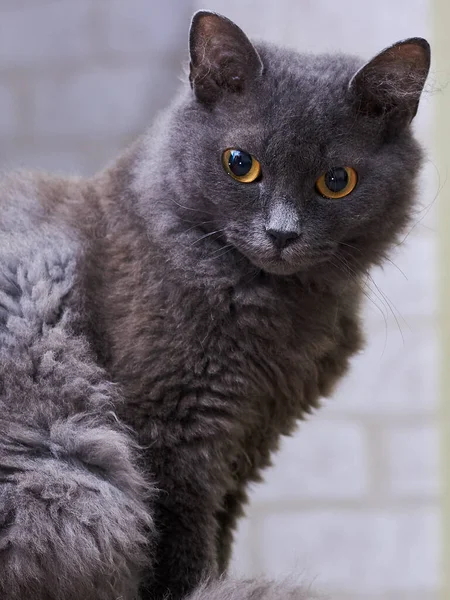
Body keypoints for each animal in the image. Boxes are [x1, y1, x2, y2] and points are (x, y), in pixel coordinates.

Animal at [0, 8, 428, 600]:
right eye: (240, 164)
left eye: (337, 181)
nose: (281, 233)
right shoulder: (173, 432)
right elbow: (180, 546)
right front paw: (199, 590)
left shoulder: (246, 443)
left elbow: (218, 538)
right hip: (72, 479)